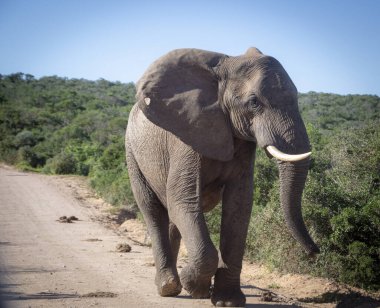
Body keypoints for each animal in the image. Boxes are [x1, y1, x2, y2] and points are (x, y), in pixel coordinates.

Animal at [126, 47, 320, 306]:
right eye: (254, 102)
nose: (314, 252)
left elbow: (239, 206)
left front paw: (227, 301)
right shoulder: (186, 137)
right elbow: (184, 200)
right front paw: (196, 288)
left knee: (172, 216)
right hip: (132, 153)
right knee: (153, 210)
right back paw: (168, 287)